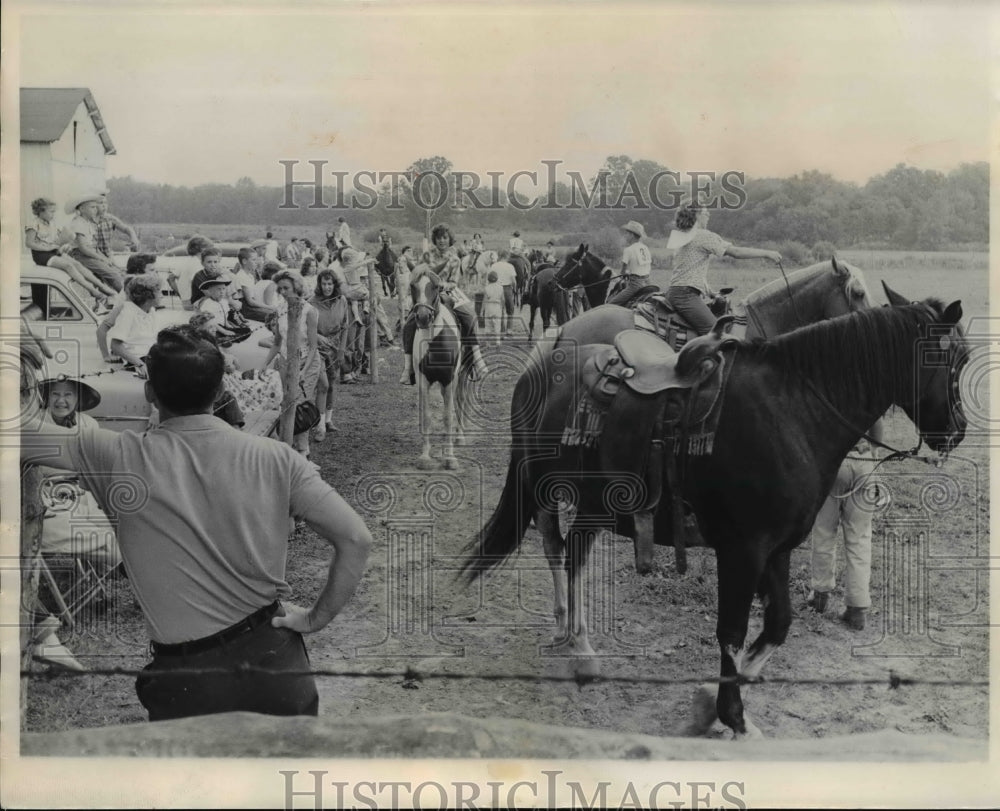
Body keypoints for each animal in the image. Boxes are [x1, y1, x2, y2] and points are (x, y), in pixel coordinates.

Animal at [408, 270, 470, 470]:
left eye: (436, 286)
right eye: (412, 286)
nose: (423, 316)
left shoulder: (450, 379)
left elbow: (448, 416)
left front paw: (449, 457)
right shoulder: (423, 380)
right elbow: (427, 416)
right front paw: (425, 456)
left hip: (461, 375)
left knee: (460, 401)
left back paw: (459, 437)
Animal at [466, 288, 968, 740]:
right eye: (957, 359)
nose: (957, 432)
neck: (792, 412)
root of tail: (539, 365)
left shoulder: (777, 549)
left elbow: (779, 625)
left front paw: (710, 702)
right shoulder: (742, 549)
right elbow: (731, 630)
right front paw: (732, 716)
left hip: (587, 502)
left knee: (566, 552)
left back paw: (569, 633)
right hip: (552, 492)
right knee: (565, 555)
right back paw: (581, 649)